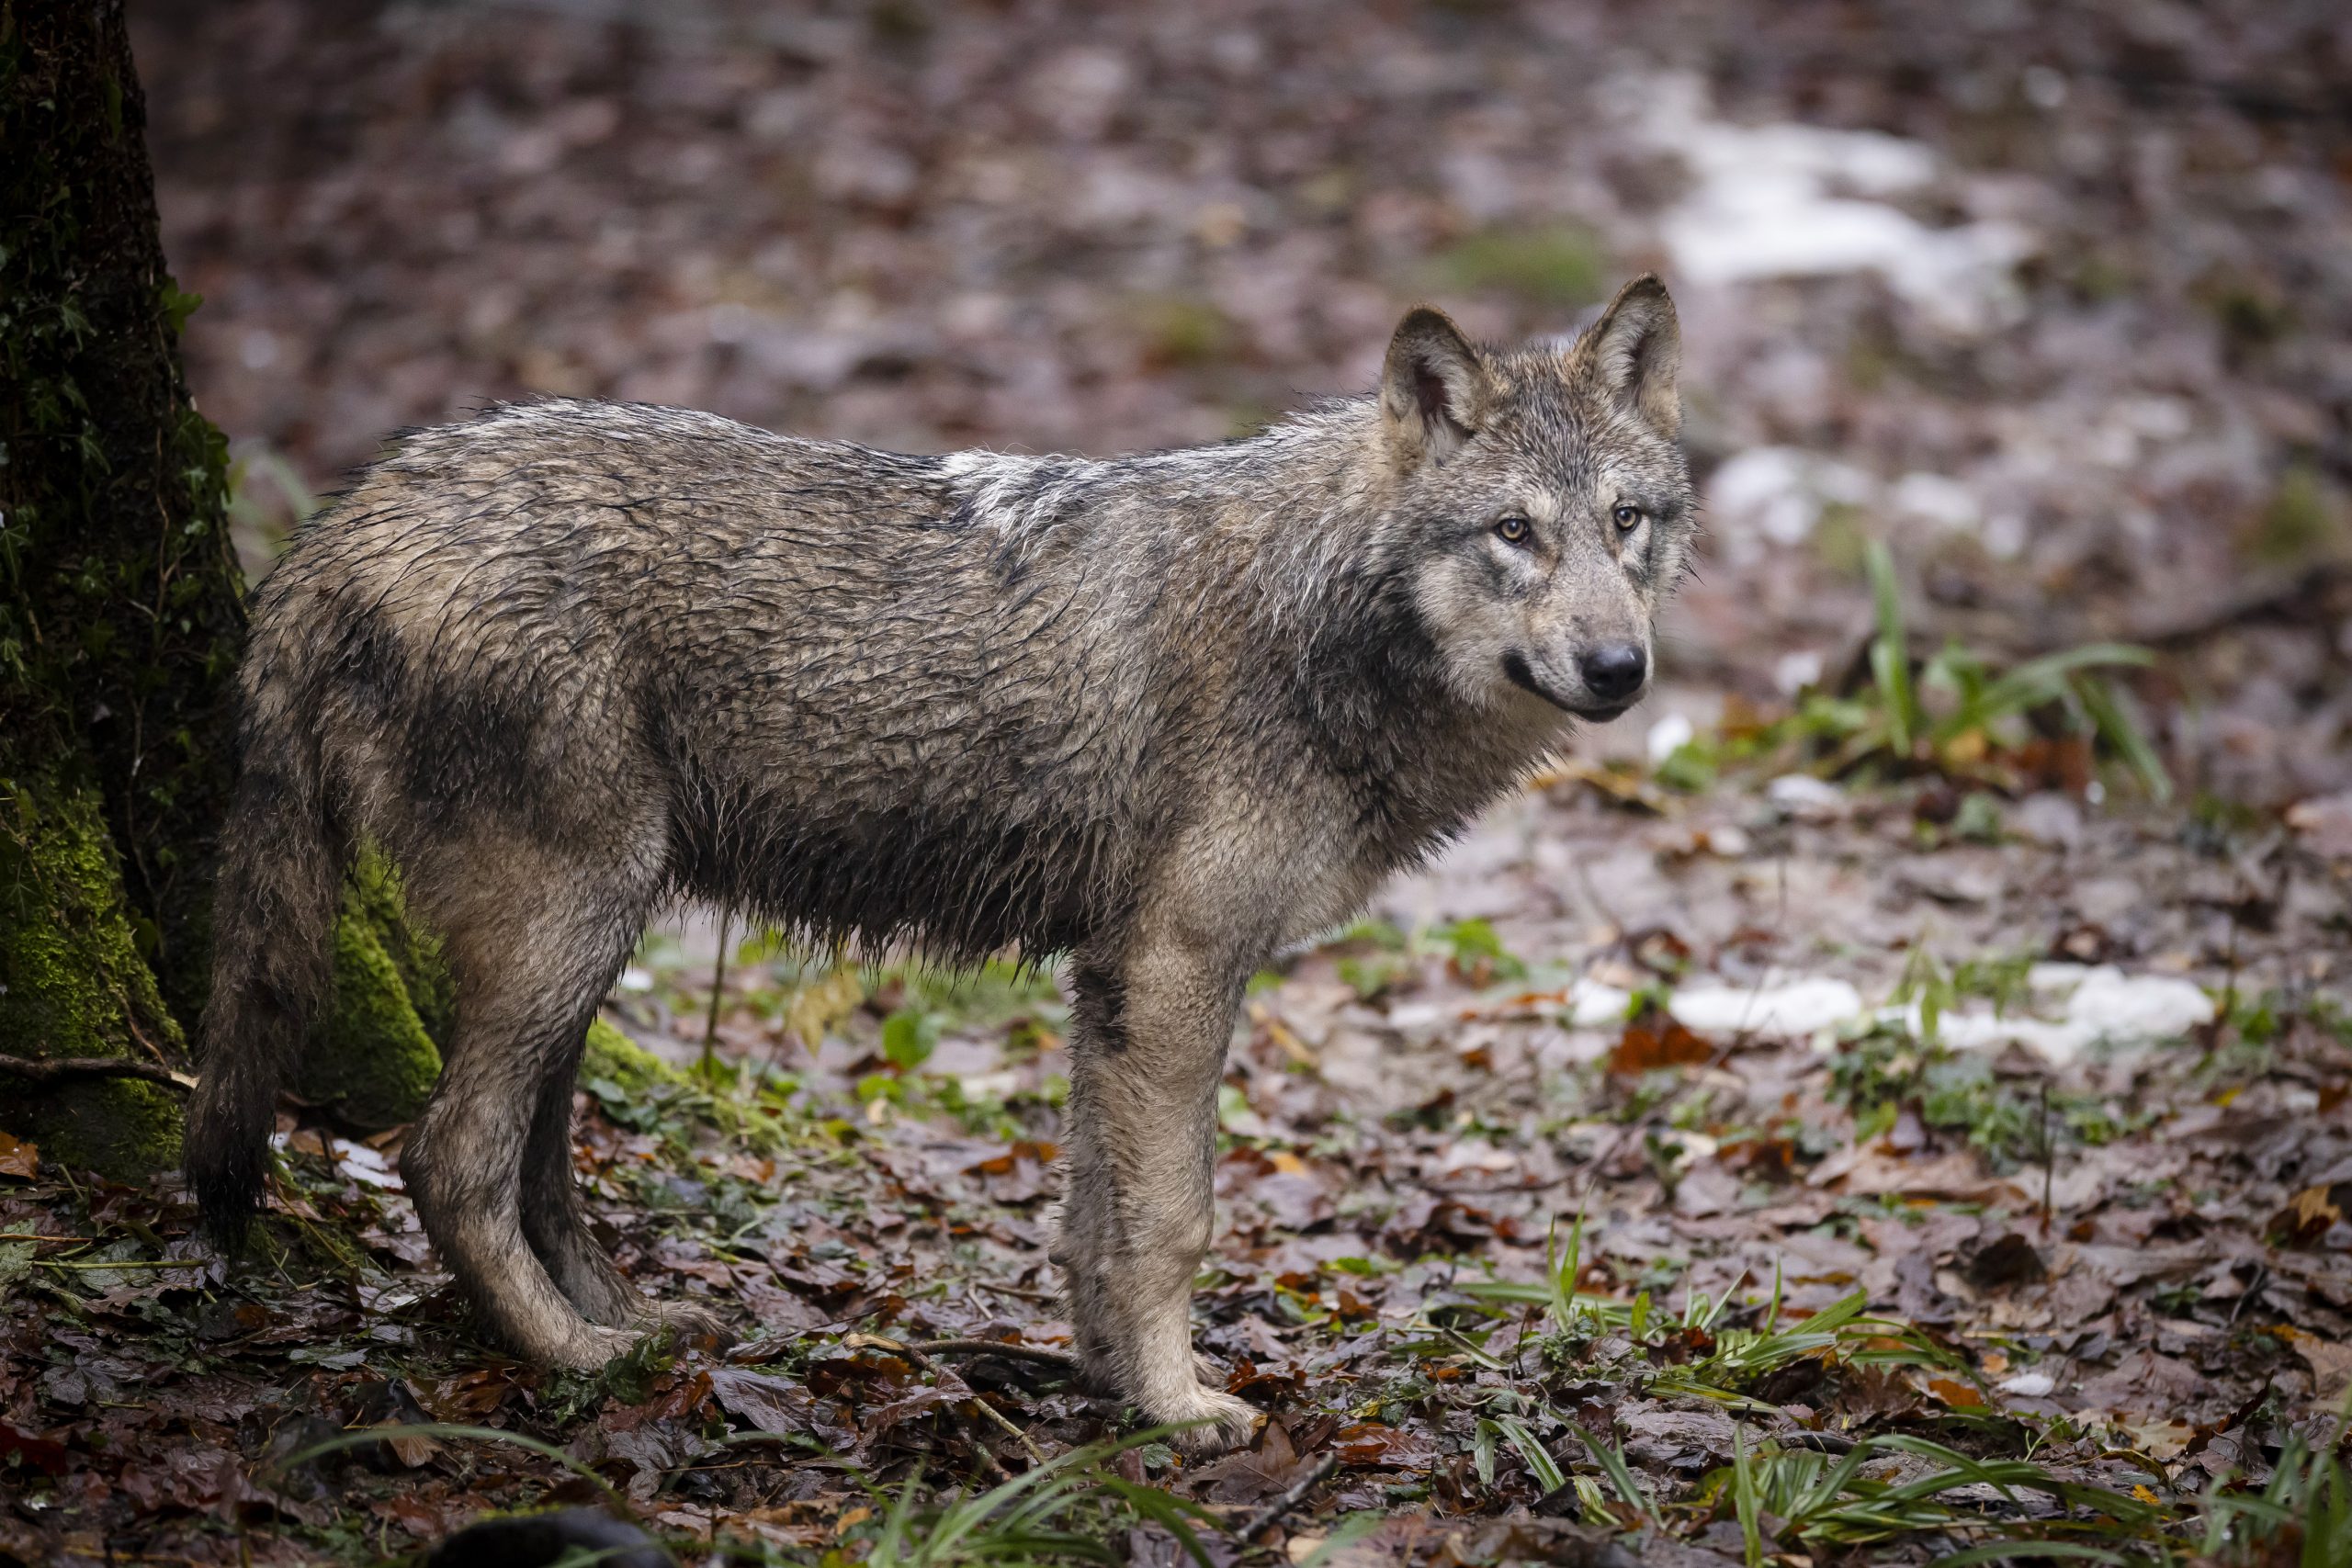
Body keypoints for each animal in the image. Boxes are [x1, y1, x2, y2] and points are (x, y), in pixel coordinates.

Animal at [183, 276, 1693, 1457]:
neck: (1318, 617)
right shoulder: (1177, 969)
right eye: (1515, 533)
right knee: (447, 1153)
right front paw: (1182, 1409)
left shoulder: (1111, 982)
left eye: (1626, 520)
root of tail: (343, 523)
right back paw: (572, 1360)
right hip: (571, 926)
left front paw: (1113, 1387)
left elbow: (1093, 1224)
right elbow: (1175, 1219)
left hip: (581, 944)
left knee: (532, 1156)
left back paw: (626, 1317)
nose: (1620, 668)